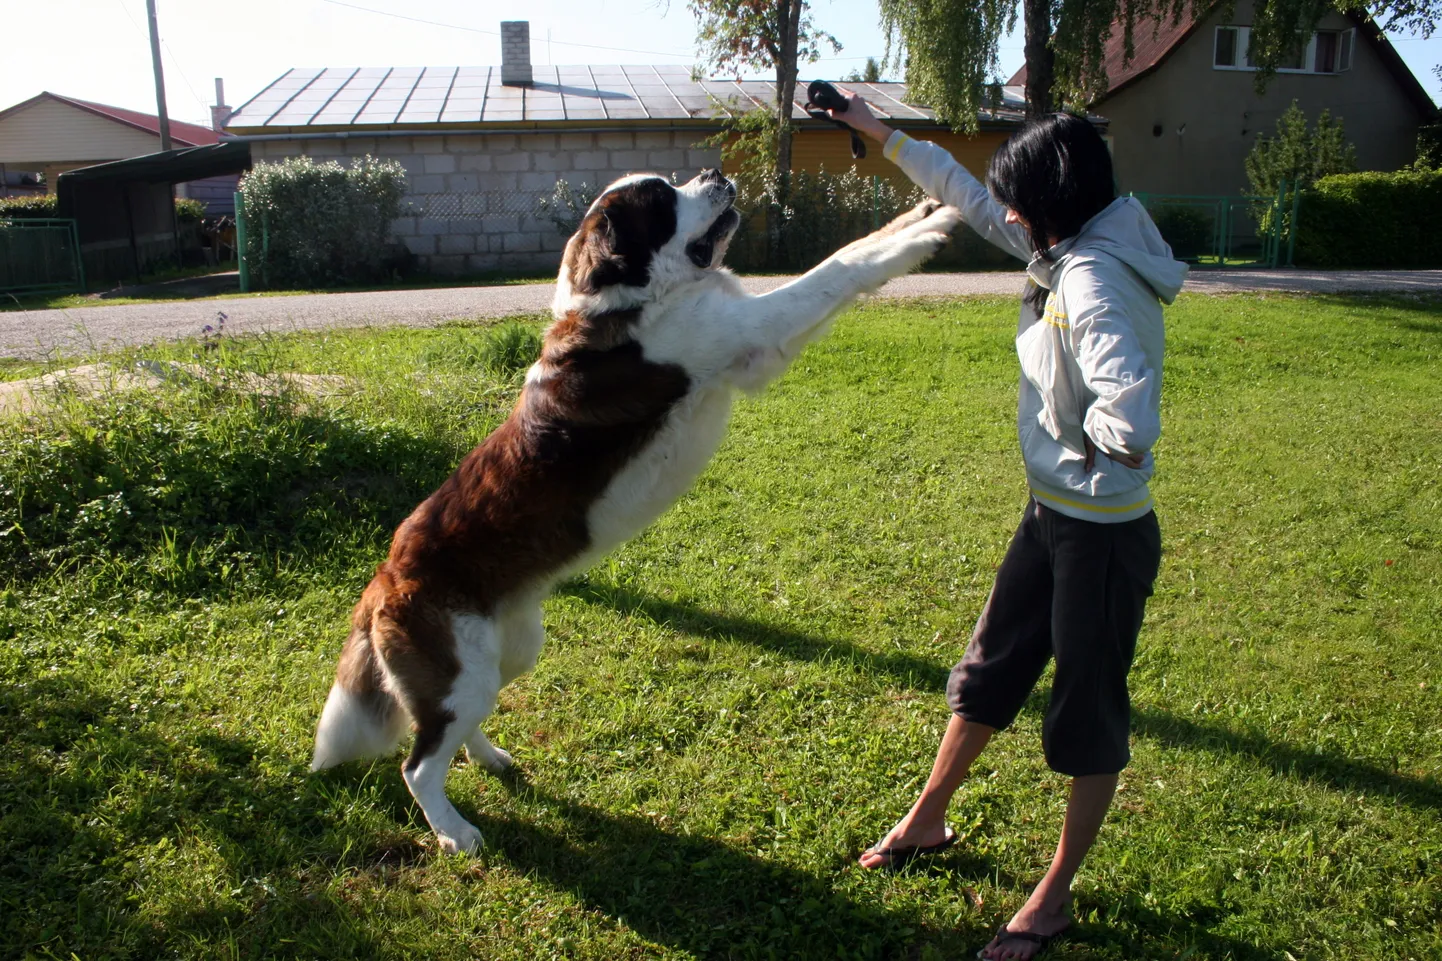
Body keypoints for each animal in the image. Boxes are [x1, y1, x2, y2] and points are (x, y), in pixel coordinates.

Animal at [312, 168, 957, 848]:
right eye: (664, 200)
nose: (713, 173)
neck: (633, 298)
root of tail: (384, 577)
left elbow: (858, 245)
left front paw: (926, 211)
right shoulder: (755, 328)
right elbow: (840, 266)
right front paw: (930, 232)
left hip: (506, 654)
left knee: (448, 730)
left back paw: (488, 758)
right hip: (462, 668)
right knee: (418, 764)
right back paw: (454, 832)